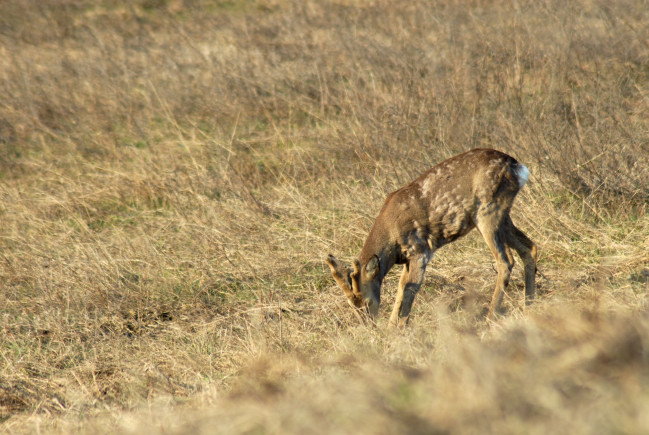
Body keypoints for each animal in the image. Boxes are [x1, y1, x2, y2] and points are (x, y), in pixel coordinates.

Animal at [326, 149, 536, 328]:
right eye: (352, 304)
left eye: (367, 301)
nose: (369, 325)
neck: (392, 242)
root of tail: (517, 167)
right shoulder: (407, 258)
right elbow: (401, 286)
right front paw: (391, 327)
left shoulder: (420, 248)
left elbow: (411, 287)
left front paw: (401, 328)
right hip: (500, 216)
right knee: (529, 247)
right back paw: (529, 306)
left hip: (488, 211)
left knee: (505, 260)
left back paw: (491, 317)